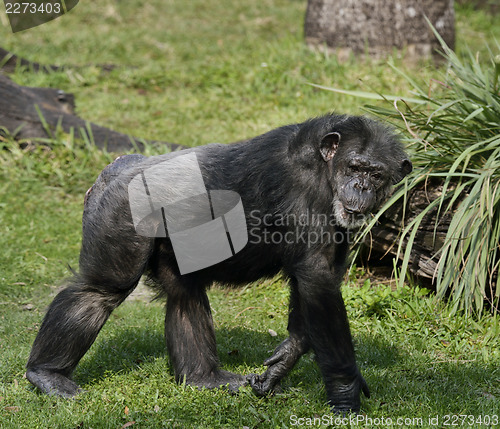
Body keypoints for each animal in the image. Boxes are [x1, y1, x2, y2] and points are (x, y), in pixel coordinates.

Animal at [25, 113, 412, 412]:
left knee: (185, 295)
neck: (325, 167)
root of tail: (114, 167)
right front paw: (346, 393)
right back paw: (48, 374)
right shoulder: (303, 192)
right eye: (355, 166)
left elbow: (315, 284)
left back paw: (203, 379)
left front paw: (283, 362)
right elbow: (316, 279)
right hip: (121, 212)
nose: (361, 186)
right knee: (99, 291)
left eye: (376, 175)